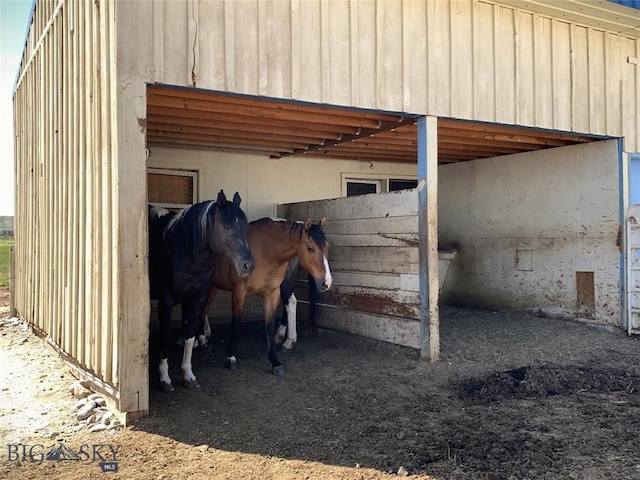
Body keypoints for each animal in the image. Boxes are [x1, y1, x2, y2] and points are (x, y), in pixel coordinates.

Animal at [148, 189, 255, 392]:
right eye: (226, 226)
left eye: (245, 226)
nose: (248, 265)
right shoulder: (166, 301)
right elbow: (166, 336)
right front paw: (164, 378)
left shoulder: (196, 298)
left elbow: (190, 335)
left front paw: (188, 375)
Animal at [201, 217, 332, 376]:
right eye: (310, 248)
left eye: (327, 246)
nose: (326, 282)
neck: (264, 252)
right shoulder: (238, 292)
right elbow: (236, 323)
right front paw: (231, 356)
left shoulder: (271, 293)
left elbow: (268, 325)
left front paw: (275, 361)